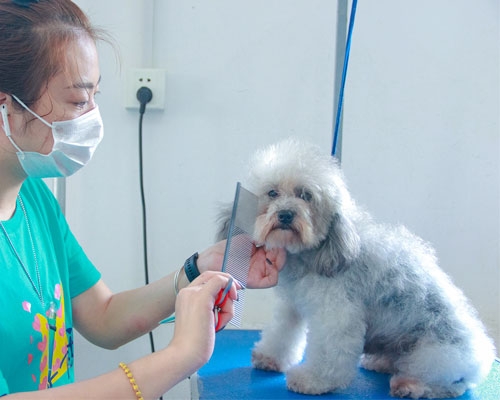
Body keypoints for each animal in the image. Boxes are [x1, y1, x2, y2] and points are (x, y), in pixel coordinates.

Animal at [216, 139, 495, 398]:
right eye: (272, 193)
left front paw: (313, 380)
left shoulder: (336, 314)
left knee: (450, 384)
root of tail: (483, 356)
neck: (312, 253)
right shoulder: (293, 305)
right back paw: (381, 362)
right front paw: (270, 357)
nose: (285, 215)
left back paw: (411, 385)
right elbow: (283, 332)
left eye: (306, 195)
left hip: (436, 354)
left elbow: (329, 351)